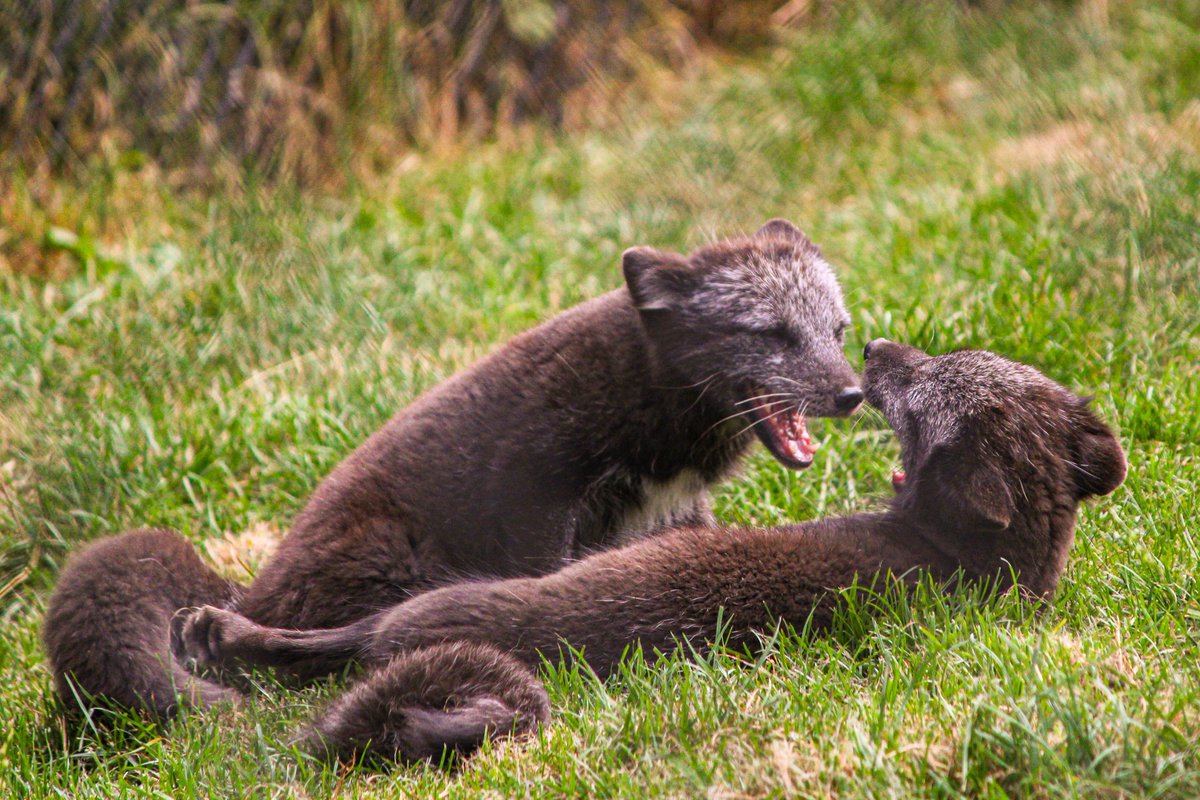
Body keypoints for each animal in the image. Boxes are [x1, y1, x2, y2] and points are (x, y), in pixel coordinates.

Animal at [44, 219, 864, 719]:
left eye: (836, 330)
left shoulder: (673, 517)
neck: (646, 397)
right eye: (773, 334)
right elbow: (543, 594)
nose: (853, 395)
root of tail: (254, 586)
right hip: (391, 563)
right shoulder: (540, 502)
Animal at [169, 341, 1127, 764]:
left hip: (439, 609)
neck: (977, 567)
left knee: (333, 647)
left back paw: (213, 633)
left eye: (921, 385)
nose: (876, 352)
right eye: (959, 351)